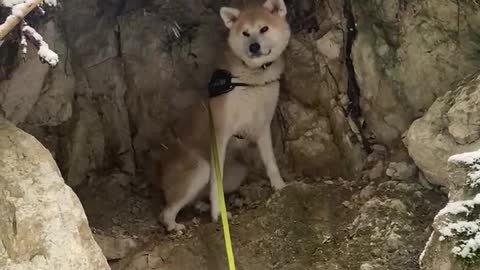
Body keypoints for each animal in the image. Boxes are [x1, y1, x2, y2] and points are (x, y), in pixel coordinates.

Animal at [158, 0, 290, 232]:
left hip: (236, 173)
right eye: (245, 33)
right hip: (201, 168)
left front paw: (280, 186)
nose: (253, 46)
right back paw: (174, 225)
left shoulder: (263, 127)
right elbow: (215, 186)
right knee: (165, 212)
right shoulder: (220, 135)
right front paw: (218, 214)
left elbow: (271, 163)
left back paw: (200, 205)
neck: (252, 80)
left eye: (264, 28)